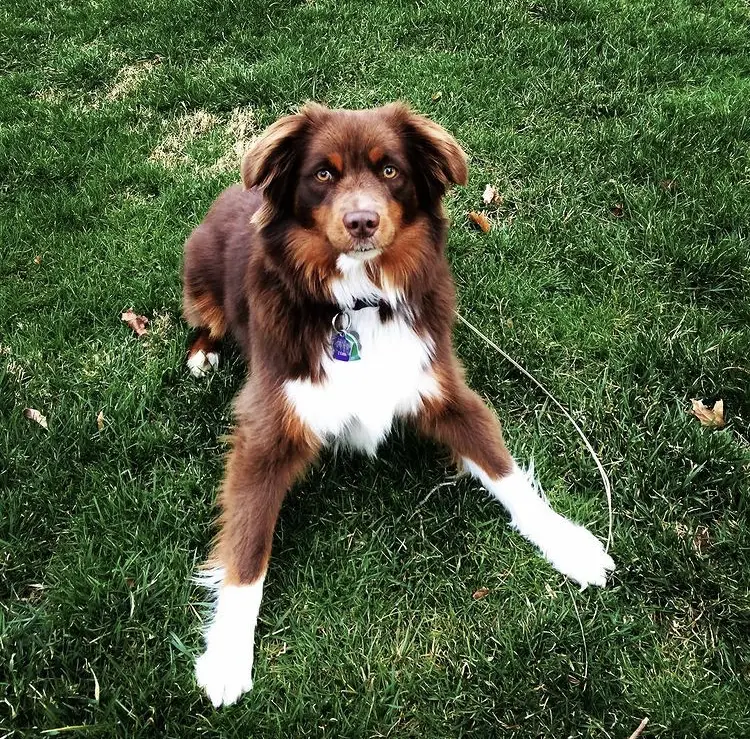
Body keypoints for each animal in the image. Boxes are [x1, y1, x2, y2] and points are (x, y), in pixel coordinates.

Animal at [182, 101, 616, 708]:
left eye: (390, 170)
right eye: (323, 174)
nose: (362, 222)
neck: (359, 302)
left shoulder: (445, 392)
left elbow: (507, 475)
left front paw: (569, 543)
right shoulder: (267, 431)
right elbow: (247, 548)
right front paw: (226, 655)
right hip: (199, 279)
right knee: (205, 319)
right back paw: (202, 354)